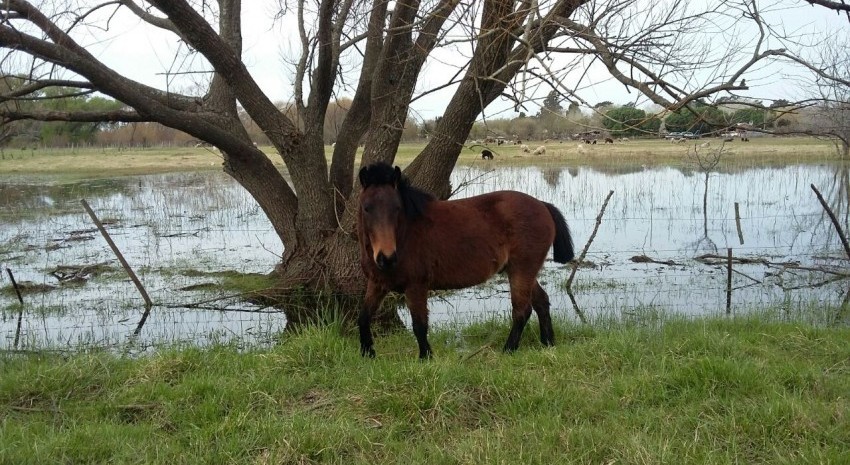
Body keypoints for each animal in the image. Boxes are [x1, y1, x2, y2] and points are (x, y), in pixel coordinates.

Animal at [354, 163, 572, 358]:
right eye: (366, 208)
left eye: (397, 208)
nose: (386, 258)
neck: (405, 234)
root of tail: (542, 205)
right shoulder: (377, 284)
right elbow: (363, 317)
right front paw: (367, 354)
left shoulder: (416, 286)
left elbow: (419, 325)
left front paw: (425, 358)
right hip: (519, 271)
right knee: (541, 302)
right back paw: (548, 344)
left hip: (521, 270)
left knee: (522, 310)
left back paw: (508, 350)